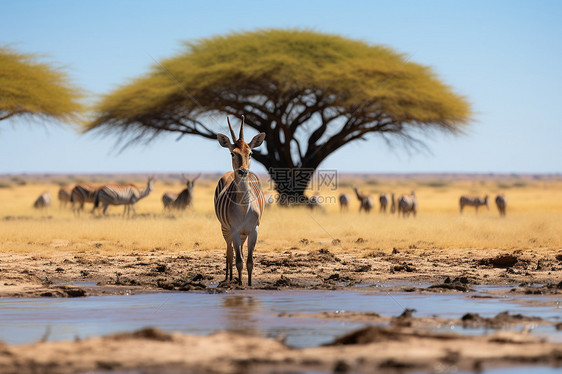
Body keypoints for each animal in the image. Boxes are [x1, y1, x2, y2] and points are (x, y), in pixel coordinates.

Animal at [215, 117, 266, 286]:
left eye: (250, 153)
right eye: (232, 153)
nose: (243, 171)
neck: (244, 207)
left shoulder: (254, 230)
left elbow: (248, 261)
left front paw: (248, 284)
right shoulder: (234, 230)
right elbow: (238, 260)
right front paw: (239, 284)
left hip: (243, 234)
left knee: (239, 252)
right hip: (225, 229)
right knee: (229, 252)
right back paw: (228, 278)